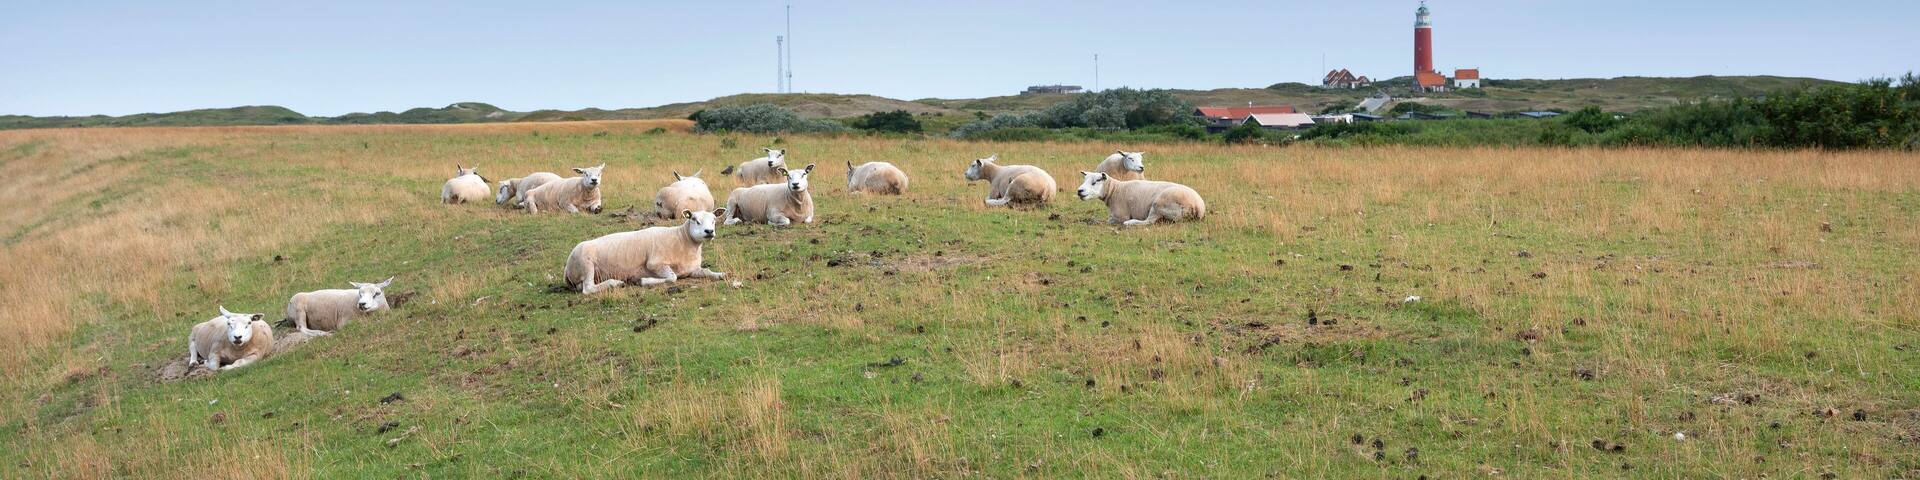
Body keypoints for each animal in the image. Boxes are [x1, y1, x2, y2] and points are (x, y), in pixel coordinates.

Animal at [566, 208, 728, 295]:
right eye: (694, 219)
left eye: (714, 219)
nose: (709, 231)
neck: (683, 239)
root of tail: (566, 270)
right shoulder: (654, 264)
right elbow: (672, 277)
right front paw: (642, 281)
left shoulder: (692, 270)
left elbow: (706, 271)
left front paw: (721, 274)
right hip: (586, 264)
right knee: (588, 288)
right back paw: (615, 283)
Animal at [1074, 171, 1207, 226]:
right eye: (1084, 180)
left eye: (1096, 181)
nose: (1079, 191)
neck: (1114, 190)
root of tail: (1198, 207)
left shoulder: (1119, 216)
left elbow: (1106, 221)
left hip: (1159, 204)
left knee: (1149, 222)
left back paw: (1130, 223)